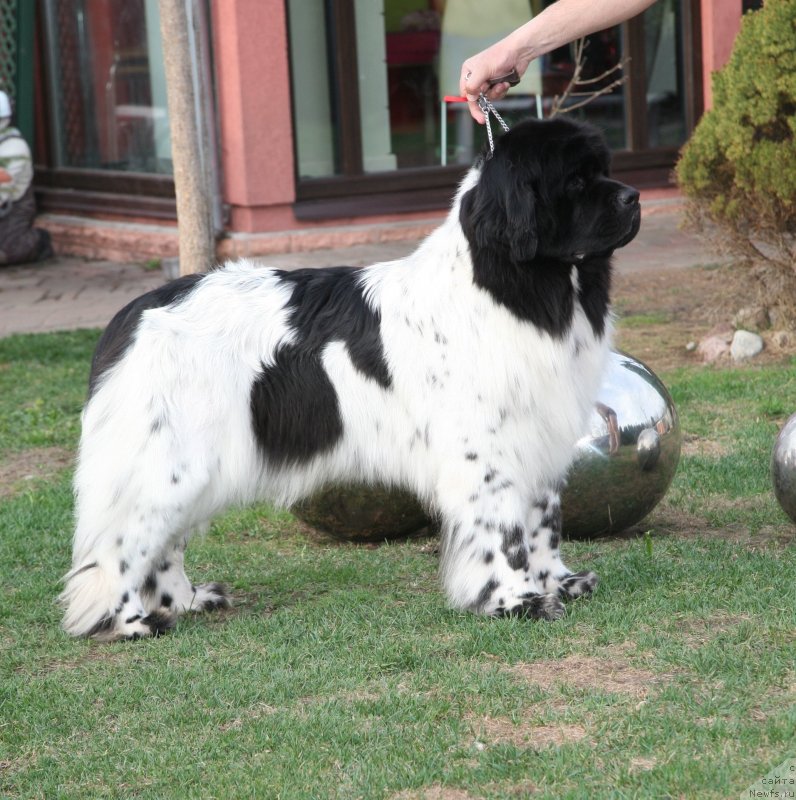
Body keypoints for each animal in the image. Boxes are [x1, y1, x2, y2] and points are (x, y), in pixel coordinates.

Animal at [57, 115, 640, 640]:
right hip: (173, 461)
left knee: (163, 542)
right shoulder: (487, 452)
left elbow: (545, 523)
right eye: (575, 183)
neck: (515, 288)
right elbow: (505, 532)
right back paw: (131, 622)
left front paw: (559, 582)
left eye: (604, 170)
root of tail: (131, 317)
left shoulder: (542, 436)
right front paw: (519, 601)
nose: (634, 196)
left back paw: (187, 601)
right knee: (122, 544)